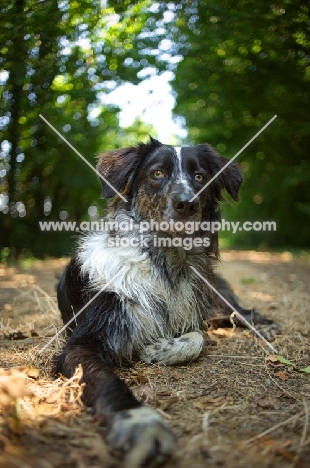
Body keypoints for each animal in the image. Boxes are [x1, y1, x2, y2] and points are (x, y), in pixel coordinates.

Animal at [55, 137, 274, 466]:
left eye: (200, 176)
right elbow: (108, 381)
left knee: (234, 312)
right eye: (157, 173)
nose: (187, 203)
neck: (166, 265)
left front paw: (159, 349)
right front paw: (141, 423)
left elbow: (197, 337)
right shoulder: (81, 344)